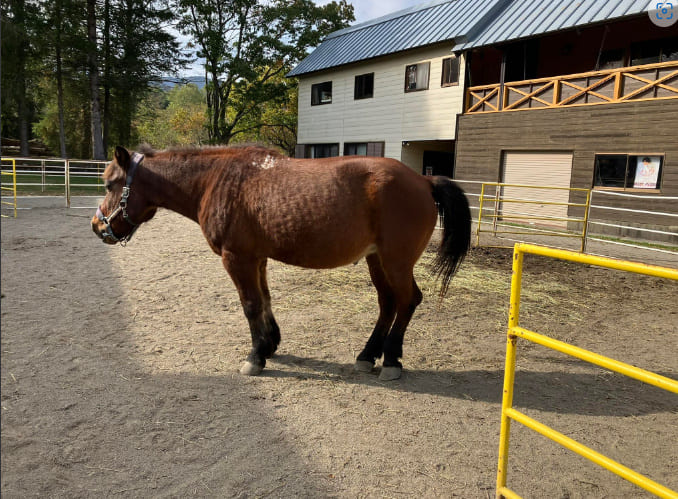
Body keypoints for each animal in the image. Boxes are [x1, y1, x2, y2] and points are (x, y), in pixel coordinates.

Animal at [91, 146, 472, 380]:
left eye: (110, 184)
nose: (97, 226)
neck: (217, 180)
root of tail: (423, 179)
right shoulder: (256, 258)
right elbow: (264, 300)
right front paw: (270, 344)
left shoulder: (237, 259)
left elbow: (249, 304)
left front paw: (255, 356)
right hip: (376, 260)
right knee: (388, 303)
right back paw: (367, 355)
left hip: (396, 261)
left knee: (408, 300)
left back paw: (391, 358)